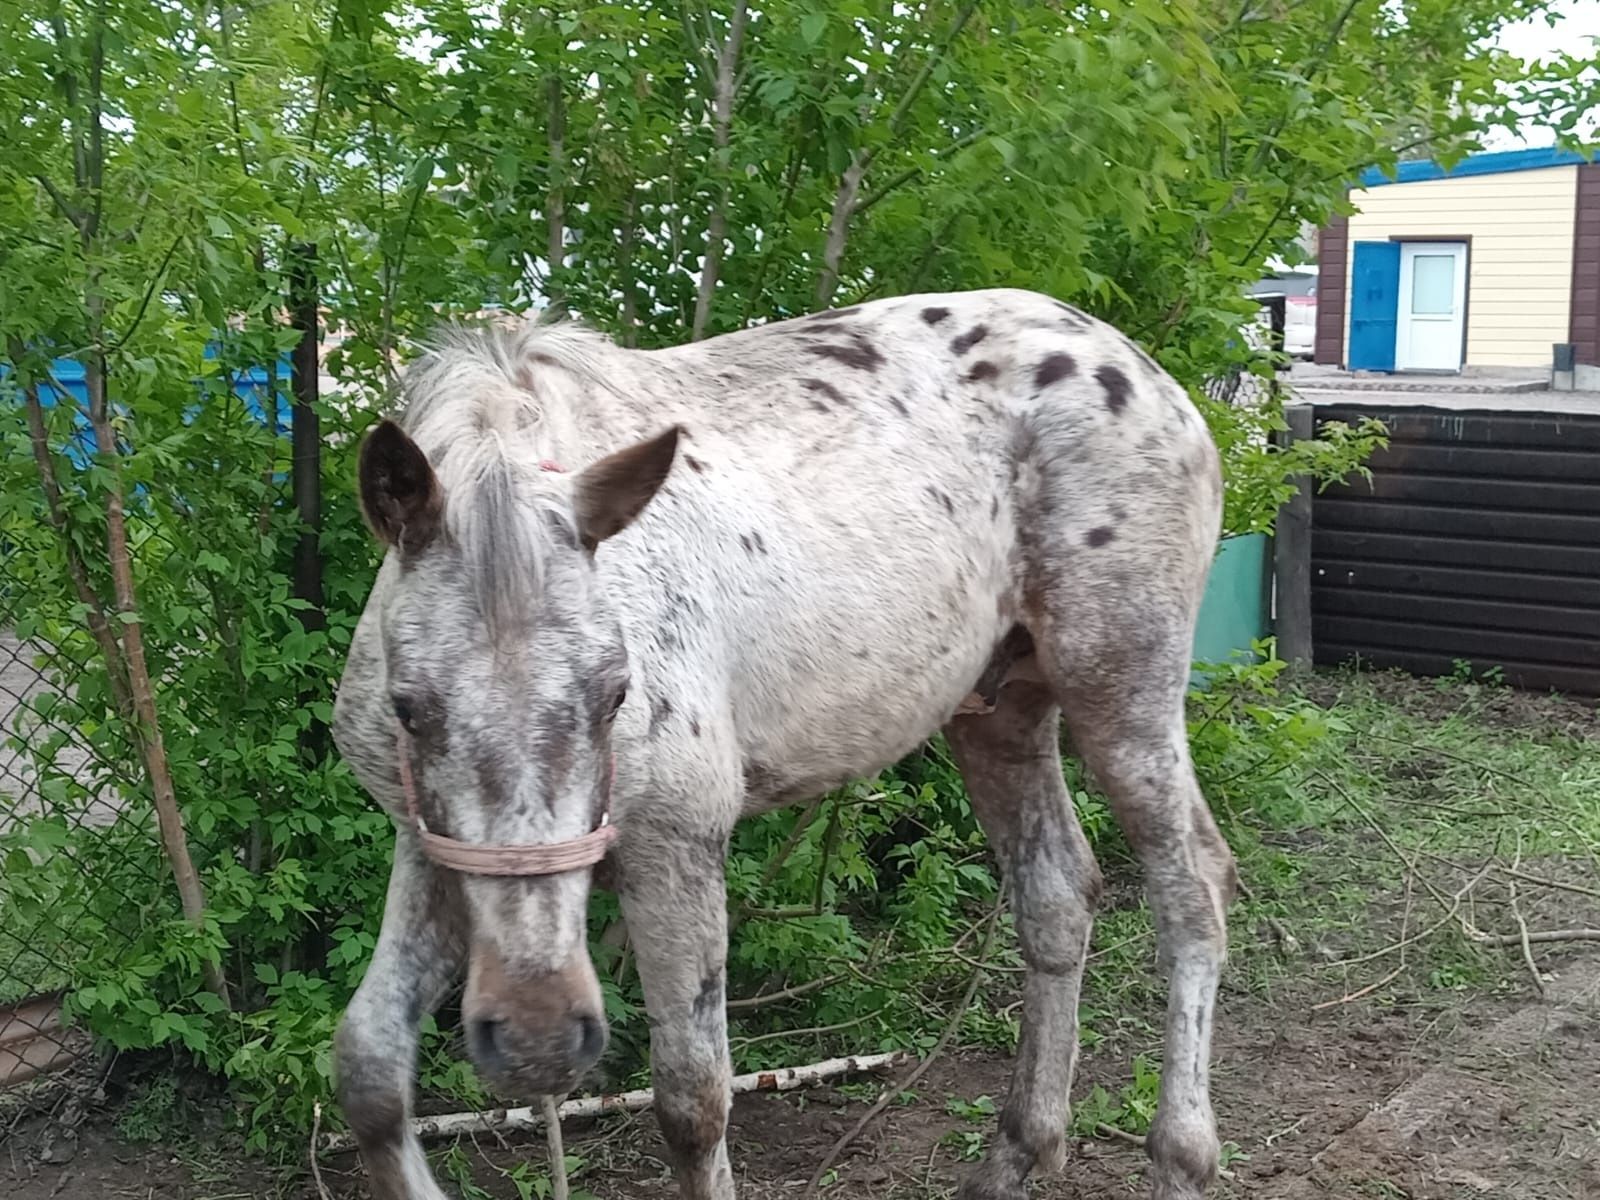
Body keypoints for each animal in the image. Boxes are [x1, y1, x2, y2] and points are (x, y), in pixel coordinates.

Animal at [331, 289, 1235, 1200]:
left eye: (617, 692)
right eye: (409, 709)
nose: (537, 1036)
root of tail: (1148, 374)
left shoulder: (677, 848)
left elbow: (694, 1104)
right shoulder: (428, 842)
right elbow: (369, 1070)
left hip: (1123, 692)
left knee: (1194, 887)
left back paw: (1182, 1155)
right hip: (1001, 710)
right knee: (1056, 895)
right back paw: (1017, 1151)